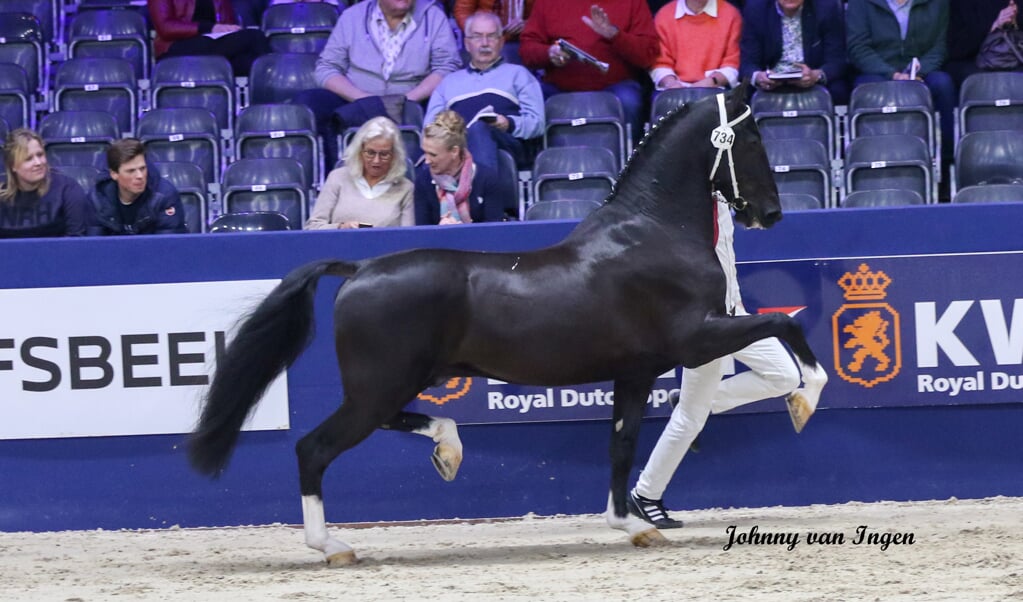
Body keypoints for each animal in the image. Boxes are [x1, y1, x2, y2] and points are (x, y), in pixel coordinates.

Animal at [192, 83, 826, 565]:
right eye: (752, 138)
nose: (772, 213)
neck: (651, 233)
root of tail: (360, 266)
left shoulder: (636, 371)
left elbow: (621, 444)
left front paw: (632, 525)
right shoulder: (696, 338)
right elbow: (784, 327)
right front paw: (803, 401)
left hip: (390, 385)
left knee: (392, 425)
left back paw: (447, 452)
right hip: (378, 387)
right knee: (313, 448)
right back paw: (333, 546)